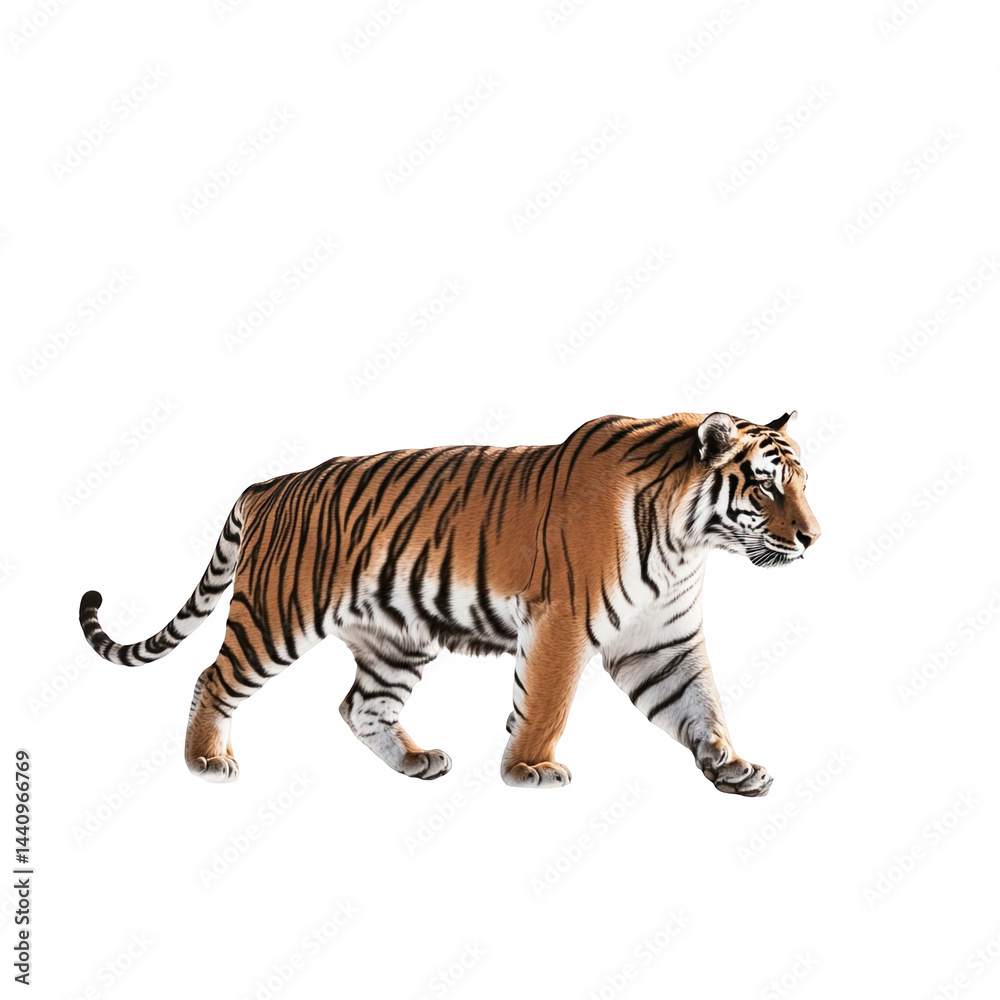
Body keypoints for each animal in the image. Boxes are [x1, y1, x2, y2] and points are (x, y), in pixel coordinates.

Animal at [79, 410, 819, 796]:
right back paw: (205, 760)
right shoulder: (562, 622)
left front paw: (731, 766)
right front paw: (530, 769)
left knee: (358, 706)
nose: (814, 538)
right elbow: (546, 702)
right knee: (213, 677)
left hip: (394, 638)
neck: (686, 540)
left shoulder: (660, 640)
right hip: (277, 616)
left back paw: (415, 762)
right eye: (767, 487)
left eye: (803, 485)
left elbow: (700, 703)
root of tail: (275, 483)